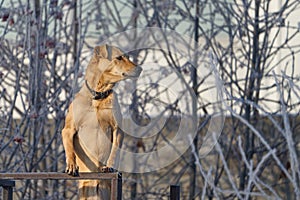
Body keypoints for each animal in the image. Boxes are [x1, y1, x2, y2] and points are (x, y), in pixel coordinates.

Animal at [61, 44, 142, 199]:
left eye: (128, 57)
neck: (98, 95)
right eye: (119, 57)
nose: (140, 69)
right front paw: (71, 165)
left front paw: (109, 165)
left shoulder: (117, 129)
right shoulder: (68, 129)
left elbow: (115, 150)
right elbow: (69, 148)